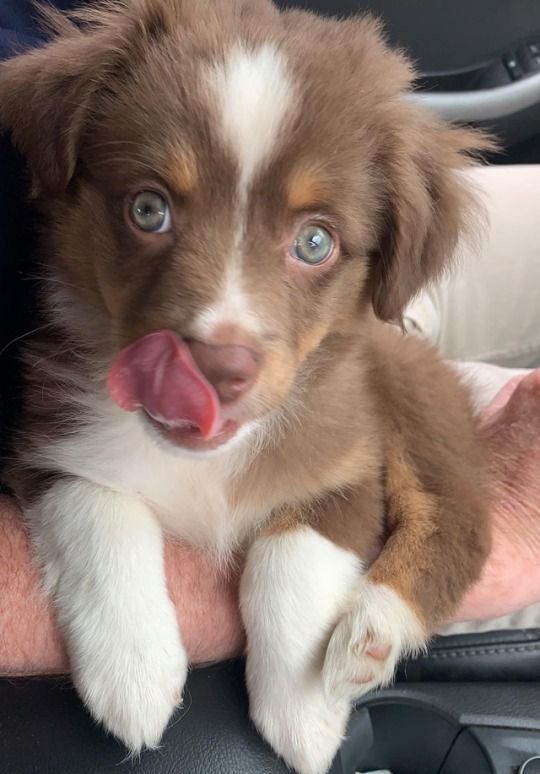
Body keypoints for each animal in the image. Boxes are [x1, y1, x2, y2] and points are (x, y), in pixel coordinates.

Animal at [0, 3, 492, 772]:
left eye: (315, 242)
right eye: (148, 209)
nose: (214, 369)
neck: (205, 463)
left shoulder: (349, 463)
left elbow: (288, 555)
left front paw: (302, 707)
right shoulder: (46, 442)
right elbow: (101, 512)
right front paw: (133, 670)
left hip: (413, 405)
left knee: (458, 519)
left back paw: (372, 629)